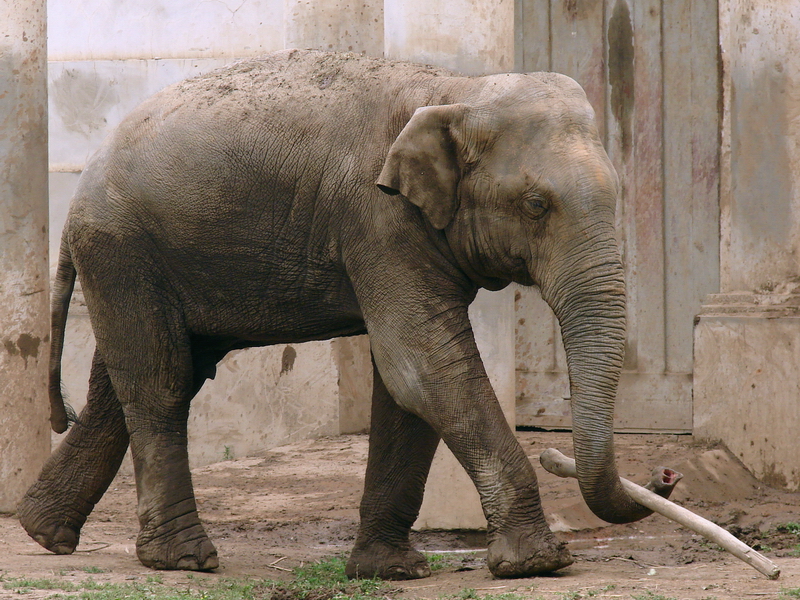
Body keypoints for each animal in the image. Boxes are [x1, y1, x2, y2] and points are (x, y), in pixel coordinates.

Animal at [18, 49, 678, 580]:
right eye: (536, 205)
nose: (666, 477)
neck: (457, 90)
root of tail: (79, 188)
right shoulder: (379, 219)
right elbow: (425, 369)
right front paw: (538, 565)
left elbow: (407, 387)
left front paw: (393, 571)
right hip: (124, 247)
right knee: (161, 381)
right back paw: (183, 559)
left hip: (151, 256)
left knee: (128, 383)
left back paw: (43, 532)